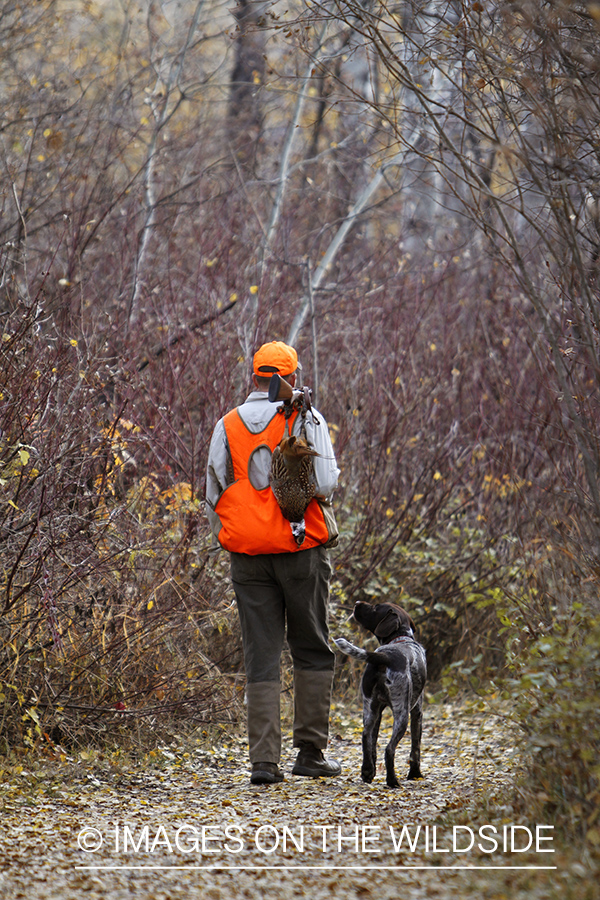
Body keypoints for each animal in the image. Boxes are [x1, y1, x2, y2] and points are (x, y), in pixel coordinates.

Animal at [332, 604, 426, 788]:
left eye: (376, 608)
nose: (357, 603)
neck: (401, 638)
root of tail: (385, 656)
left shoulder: (379, 712)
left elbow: (373, 745)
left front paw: (371, 771)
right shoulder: (416, 712)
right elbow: (415, 749)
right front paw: (415, 774)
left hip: (370, 709)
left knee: (365, 737)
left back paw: (367, 771)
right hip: (402, 713)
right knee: (389, 749)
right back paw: (392, 781)